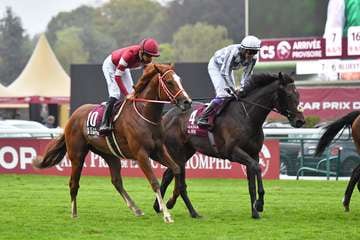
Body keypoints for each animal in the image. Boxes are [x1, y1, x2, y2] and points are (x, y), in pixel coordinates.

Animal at [32, 63, 193, 223]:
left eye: (179, 80)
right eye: (169, 82)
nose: (187, 102)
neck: (145, 115)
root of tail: (72, 117)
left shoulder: (158, 150)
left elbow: (176, 168)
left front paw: (171, 201)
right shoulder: (141, 154)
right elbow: (154, 182)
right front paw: (166, 214)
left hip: (110, 155)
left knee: (116, 181)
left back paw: (136, 209)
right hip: (77, 156)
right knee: (73, 183)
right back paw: (74, 213)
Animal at [153, 72, 306, 219]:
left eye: (298, 94)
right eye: (288, 95)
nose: (300, 121)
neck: (246, 117)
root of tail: (166, 116)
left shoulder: (253, 154)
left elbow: (251, 183)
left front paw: (255, 212)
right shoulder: (233, 152)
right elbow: (257, 168)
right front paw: (260, 204)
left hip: (186, 151)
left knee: (168, 174)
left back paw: (160, 205)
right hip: (178, 151)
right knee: (180, 183)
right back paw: (192, 211)